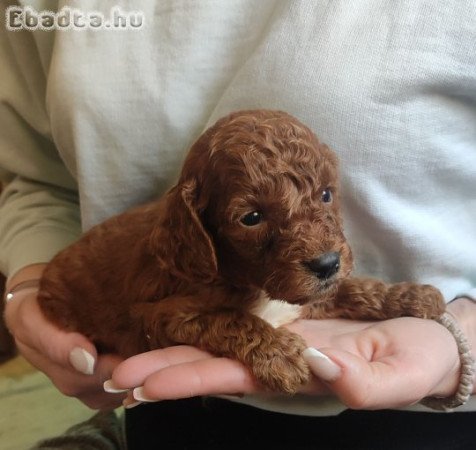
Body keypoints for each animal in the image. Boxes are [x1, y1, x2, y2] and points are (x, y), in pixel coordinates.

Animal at [38, 110, 446, 394]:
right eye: (251, 218)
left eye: (327, 194)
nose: (327, 264)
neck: (247, 278)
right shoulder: (160, 315)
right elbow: (232, 318)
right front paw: (280, 355)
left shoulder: (306, 293)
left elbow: (355, 287)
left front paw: (411, 295)